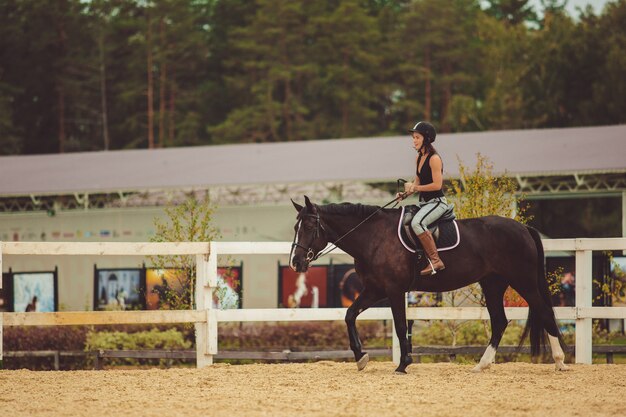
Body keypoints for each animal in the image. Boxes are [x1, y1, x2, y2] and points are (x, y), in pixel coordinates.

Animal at [290, 195, 568, 374]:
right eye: (296, 226)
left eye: (310, 225)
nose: (295, 262)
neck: (374, 237)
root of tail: (523, 227)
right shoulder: (375, 290)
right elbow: (349, 315)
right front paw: (361, 358)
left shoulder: (393, 291)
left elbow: (401, 326)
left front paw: (403, 364)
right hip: (493, 284)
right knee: (500, 321)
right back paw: (482, 364)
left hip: (523, 281)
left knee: (544, 313)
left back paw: (559, 361)